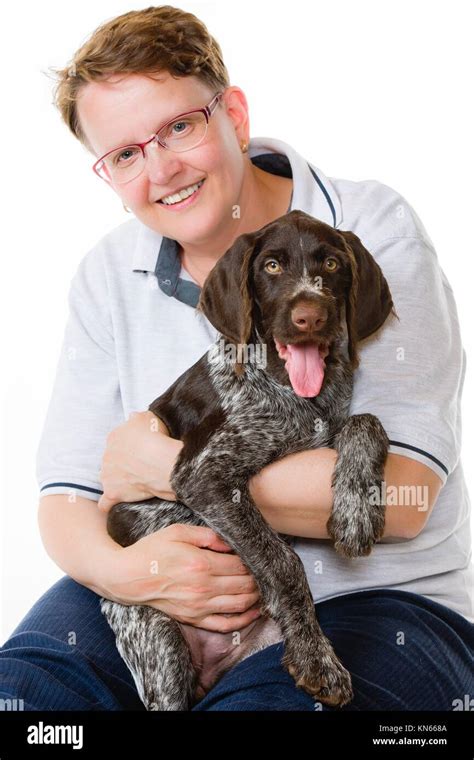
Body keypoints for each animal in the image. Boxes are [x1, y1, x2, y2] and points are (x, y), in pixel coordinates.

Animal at [102, 209, 394, 712]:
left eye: (333, 264)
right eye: (272, 266)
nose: (309, 315)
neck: (293, 391)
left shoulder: (327, 430)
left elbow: (367, 423)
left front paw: (356, 510)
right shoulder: (204, 475)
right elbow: (282, 562)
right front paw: (317, 659)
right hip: (156, 638)